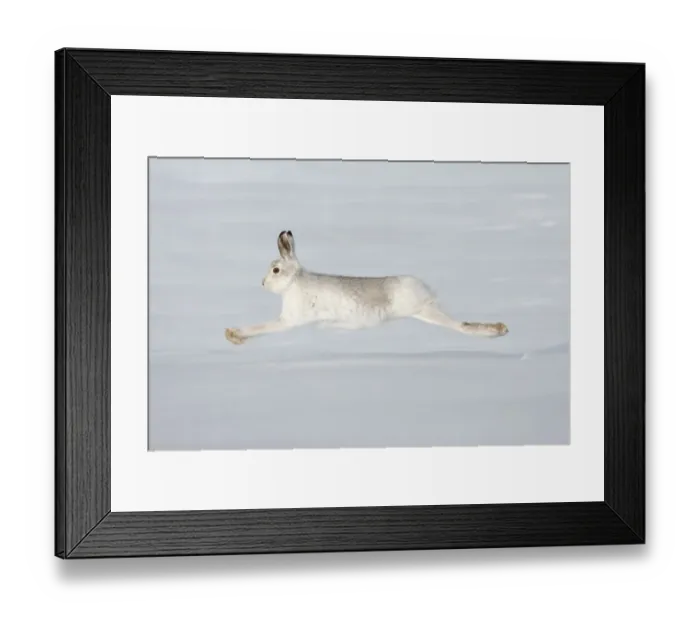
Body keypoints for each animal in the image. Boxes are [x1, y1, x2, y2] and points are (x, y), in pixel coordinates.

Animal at [225, 230, 509, 345]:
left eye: (275, 270)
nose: (262, 283)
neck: (295, 281)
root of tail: (426, 291)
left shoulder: (289, 320)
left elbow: (263, 328)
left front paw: (234, 335)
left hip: (420, 311)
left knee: (460, 326)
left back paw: (497, 330)